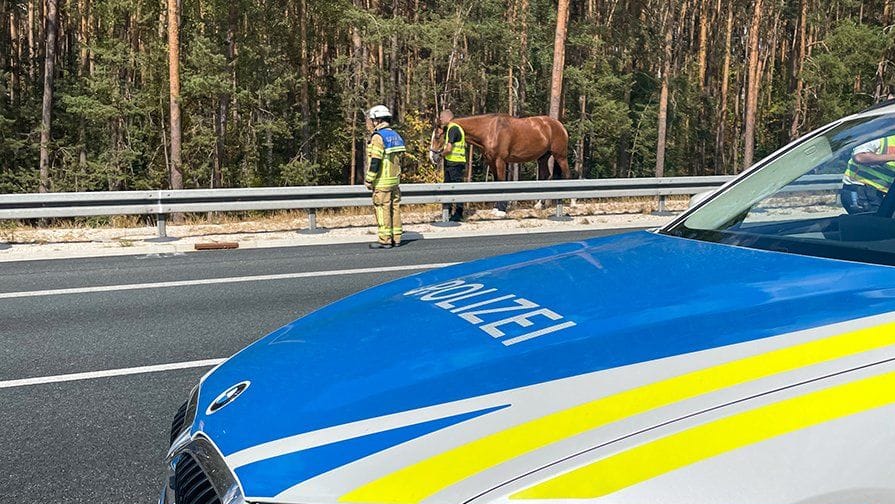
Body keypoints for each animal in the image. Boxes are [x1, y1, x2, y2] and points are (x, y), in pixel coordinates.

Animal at [428, 114, 572, 181]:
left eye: (437, 136)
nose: (432, 157)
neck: (489, 130)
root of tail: (560, 125)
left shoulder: (500, 161)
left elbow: (502, 180)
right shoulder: (491, 161)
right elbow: (496, 180)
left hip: (560, 156)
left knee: (567, 175)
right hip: (543, 157)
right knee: (546, 176)